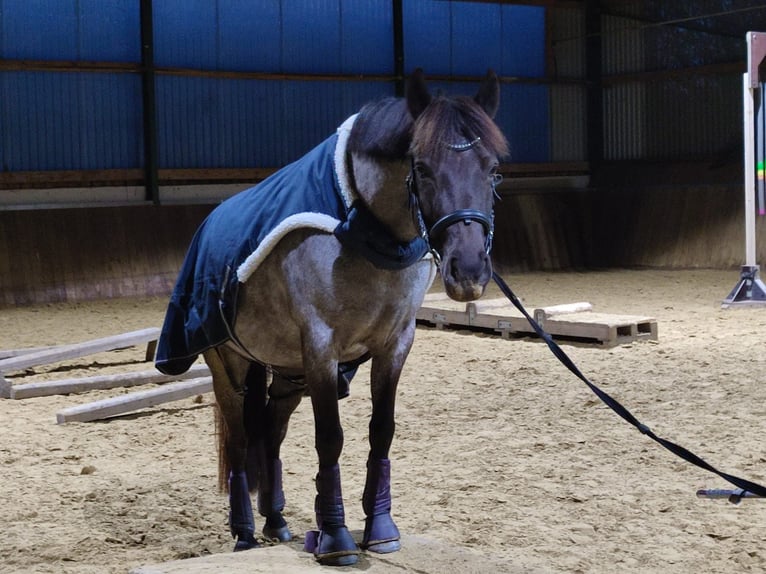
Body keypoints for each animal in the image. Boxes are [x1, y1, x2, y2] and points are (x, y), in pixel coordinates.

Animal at [156, 70, 510, 568]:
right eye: (421, 167)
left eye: (493, 170)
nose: (470, 271)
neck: (365, 235)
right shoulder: (321, 351)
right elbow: (330, 438)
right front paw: (335, 537)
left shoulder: (394, 345)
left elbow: (381, 431)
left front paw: (379, 528)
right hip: (230, 366)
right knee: (242, 440)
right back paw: (244, 532)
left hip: (288, 373)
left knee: (272, 431)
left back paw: (276, 520)